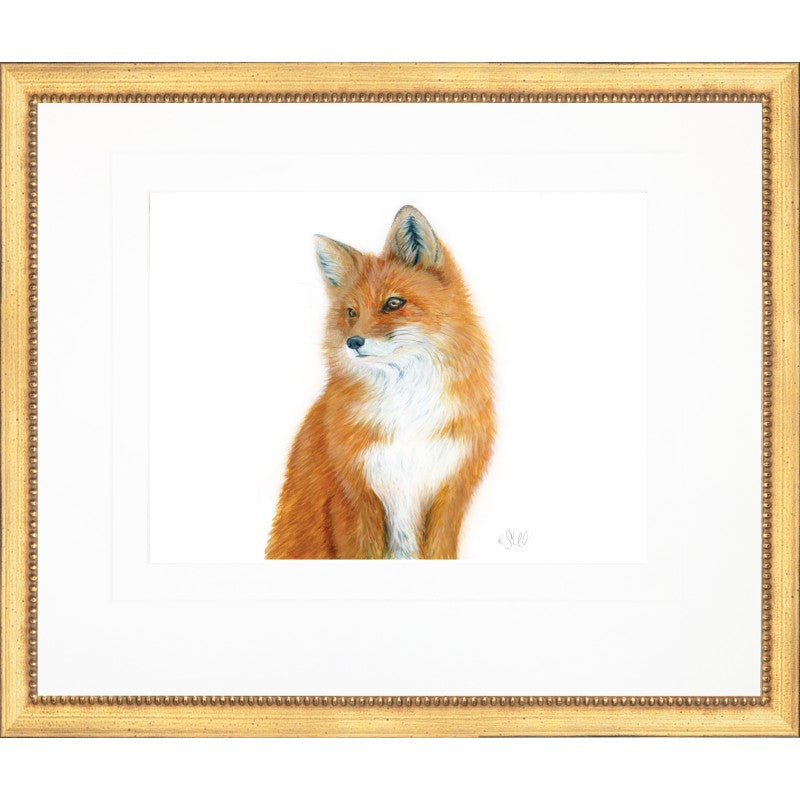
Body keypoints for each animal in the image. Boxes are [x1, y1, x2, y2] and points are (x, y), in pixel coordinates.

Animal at [265, 205, 495, 559]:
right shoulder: (354, 496)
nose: (353, 342)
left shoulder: (450, 494)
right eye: (351, 312)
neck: (408, 414)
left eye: (394, 303)